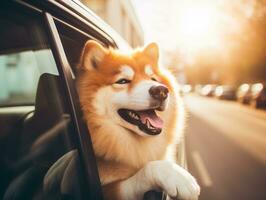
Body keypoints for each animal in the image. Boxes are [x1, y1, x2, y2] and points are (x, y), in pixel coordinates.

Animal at [75, 41, 200, 200]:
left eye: (153, 79)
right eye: (123, 81)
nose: (161, 91)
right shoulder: (108, 190)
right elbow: (150, 168)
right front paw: (177, 175)